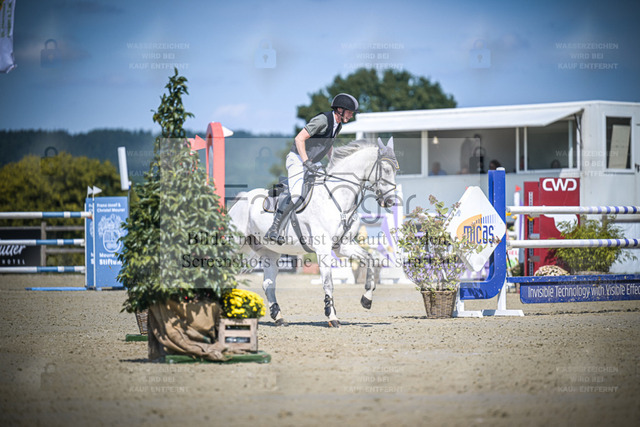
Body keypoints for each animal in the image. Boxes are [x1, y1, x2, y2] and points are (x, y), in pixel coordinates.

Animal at [228, 137, 398, 327]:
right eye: (386, 169)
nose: (389, 201)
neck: (338, 198)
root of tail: (240, 200)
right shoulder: (323, 248)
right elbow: (328, 282)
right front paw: (332, 316)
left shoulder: (343, 246)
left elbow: (370, 259)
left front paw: (366, 299)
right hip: (233, 245)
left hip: (270, 252)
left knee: (268, 284)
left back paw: (279, 318)